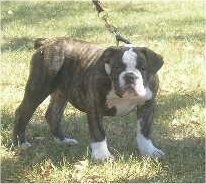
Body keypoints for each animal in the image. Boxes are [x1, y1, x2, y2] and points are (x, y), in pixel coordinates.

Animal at [12, 37, 164, 160]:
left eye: (143, 68)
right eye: (116, 67)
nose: (130, 76)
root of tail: (47, 41)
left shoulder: (147, 106)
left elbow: (144, 132)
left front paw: (149, 151)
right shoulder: (95, 106)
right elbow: (98, 132)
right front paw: (102, 155)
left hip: (61, 93)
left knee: (53, 115)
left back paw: (63, 140)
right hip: (38, 87)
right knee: (22, 112)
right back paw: (20, 143)